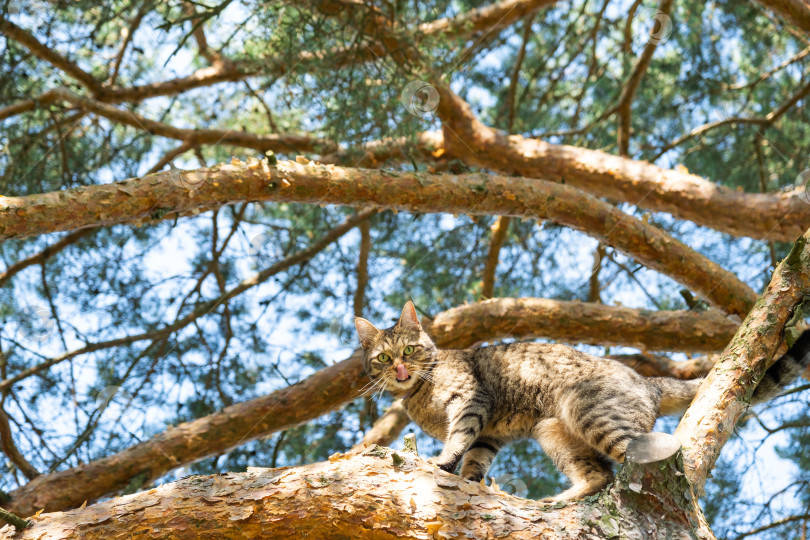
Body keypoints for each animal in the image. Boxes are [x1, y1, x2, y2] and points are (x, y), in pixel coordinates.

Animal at [352, 302, 808, 500]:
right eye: (383, 358)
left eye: (408, 350)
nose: (400, 369)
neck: (417, 395)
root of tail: (648, 381)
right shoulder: (489, 434)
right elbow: (476, 462)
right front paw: (470, 481)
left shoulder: (471, 402)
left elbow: (458, 440)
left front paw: (442, 464)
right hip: (553, 429)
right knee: (600, 474)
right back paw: (561, 499)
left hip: (585, 408)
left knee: (648, 461)